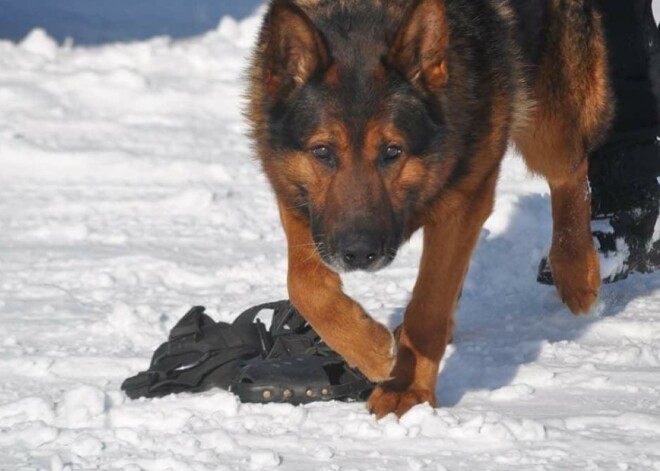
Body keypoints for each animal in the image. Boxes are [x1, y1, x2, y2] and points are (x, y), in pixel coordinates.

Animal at [245, 0, 612, 416]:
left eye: (392, 152)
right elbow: (303, 284)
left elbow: (428, 307)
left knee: (571, 171)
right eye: (322, 152)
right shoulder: (297, 198)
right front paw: (368, 347)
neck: (361, 12)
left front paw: (407, 387)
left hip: (546, 122)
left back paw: (575, 267)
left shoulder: (465, 201)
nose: (359, 253)